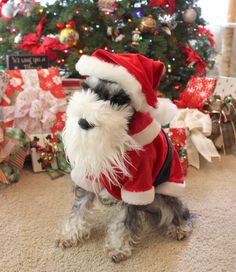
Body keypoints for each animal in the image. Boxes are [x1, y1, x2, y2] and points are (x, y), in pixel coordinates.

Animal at [56, 50, 193, 262]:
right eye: (87, 89)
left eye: (117, 100)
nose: (84, 122)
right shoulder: (90, 171)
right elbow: (79, 207)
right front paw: (70, 234)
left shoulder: (138, 184)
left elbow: (125, 220)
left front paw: (118, 247)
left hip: (165, 190)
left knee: (179, 209)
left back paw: (180, 227)